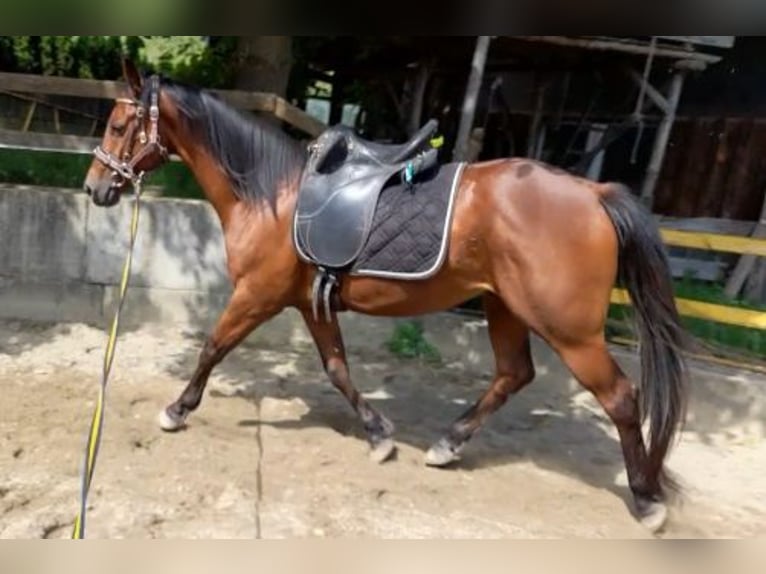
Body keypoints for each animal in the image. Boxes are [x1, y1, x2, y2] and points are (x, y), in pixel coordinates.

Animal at [82, 59, 688, 536]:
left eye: (118, 123)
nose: (95, 188)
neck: (270, 193)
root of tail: (594, 192)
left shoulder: (257, 294)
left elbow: (212, 346)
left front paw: (176, 410)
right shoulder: (309, 302)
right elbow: (337, 369)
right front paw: (379, 435)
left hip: (569, 329)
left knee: (620, 398)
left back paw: (646, 499)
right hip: (506, 308)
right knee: (514, 374)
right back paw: (448, 445)